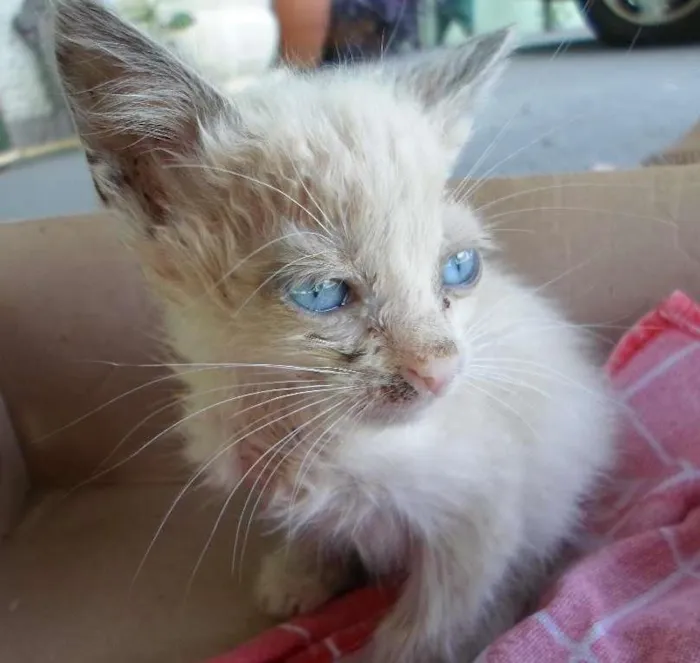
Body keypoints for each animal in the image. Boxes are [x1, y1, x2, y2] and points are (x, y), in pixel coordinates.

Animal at [53, 2, 612, 660]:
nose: (442, 370)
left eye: (460, 267)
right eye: (320, 294)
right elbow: (319, 531)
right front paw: (298, 575)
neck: (310, 436)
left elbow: (437, 616)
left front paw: (396, 647)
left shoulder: (484, 513)